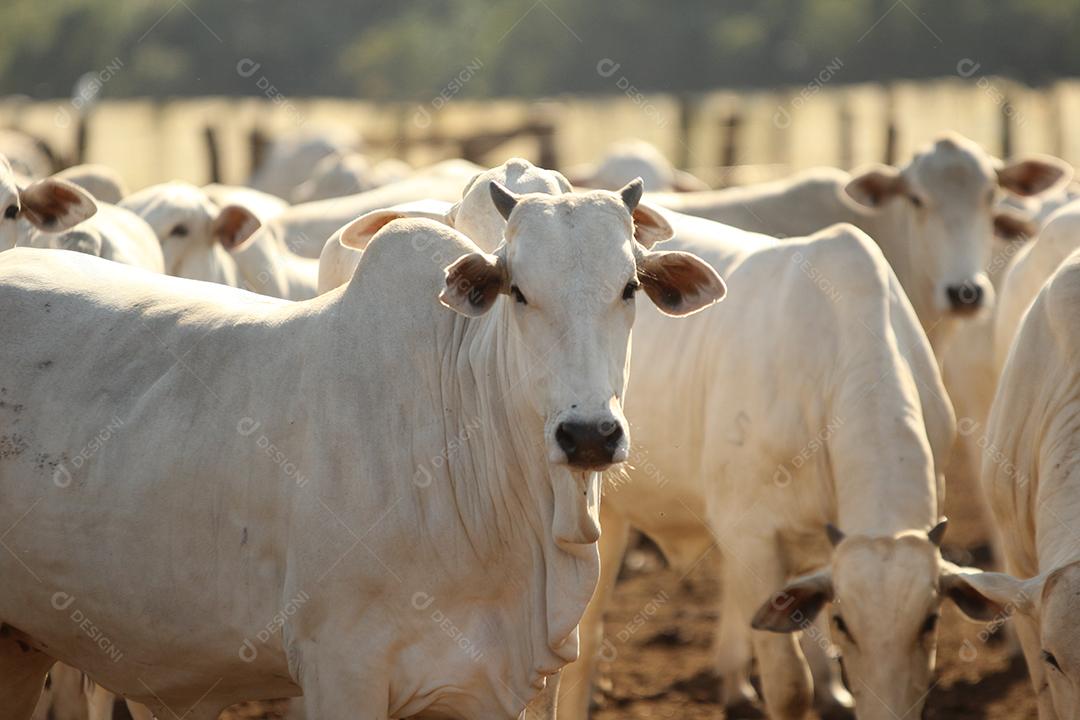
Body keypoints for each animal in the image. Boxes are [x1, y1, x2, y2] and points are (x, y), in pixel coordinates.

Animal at [2, 180, 725, 720]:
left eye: (629, 287)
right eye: (517, 291)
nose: (589, 435)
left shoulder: (510, 685)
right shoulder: (340, 669)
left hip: (23, 645)